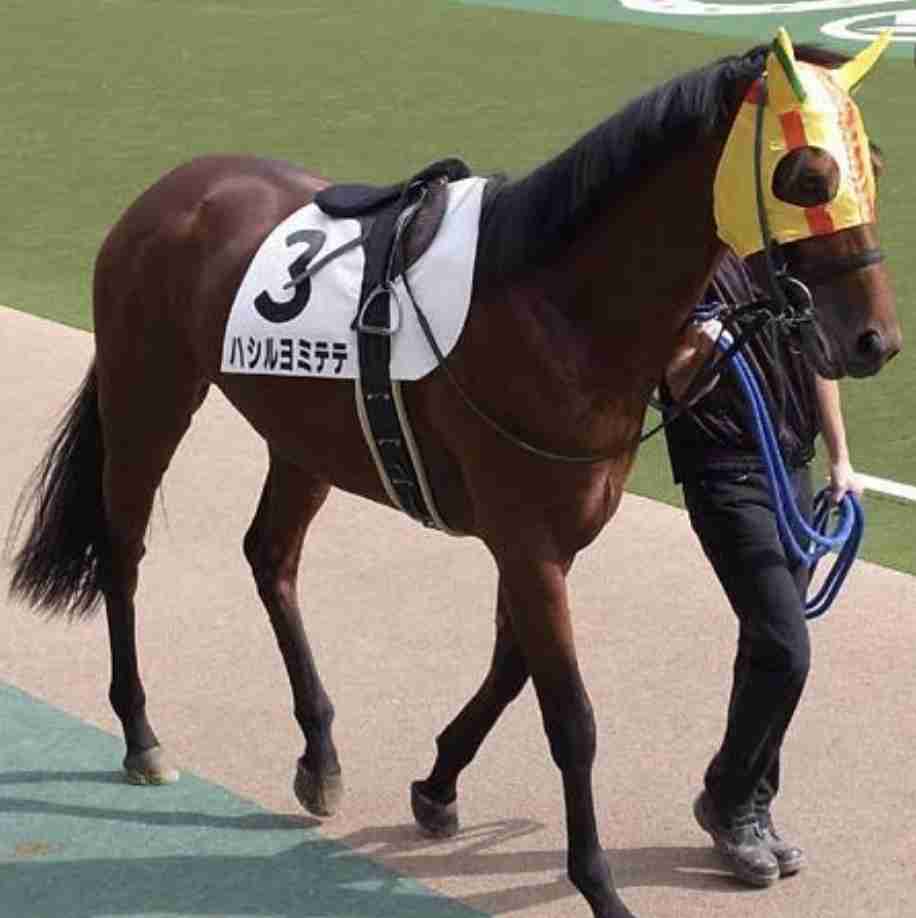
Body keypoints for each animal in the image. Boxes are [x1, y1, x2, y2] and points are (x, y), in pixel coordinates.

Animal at [7, 30, 902, 918]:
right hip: (149, 391)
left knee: (270, 557)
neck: (554, 304)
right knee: (123, 552)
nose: (875, 341)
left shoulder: (549, 538)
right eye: (808, 176)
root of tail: (170, 189)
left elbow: (511, 667)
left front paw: (437, 785)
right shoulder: (527, 539)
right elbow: (570, 717)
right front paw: (598, 884)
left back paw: (320, 752)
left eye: (874, 166)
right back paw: (142, 736)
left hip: (304, 436)